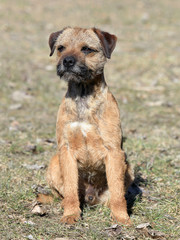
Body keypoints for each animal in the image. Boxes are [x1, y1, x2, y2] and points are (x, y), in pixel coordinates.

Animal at [45, 27, 133, 225]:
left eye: (86, 49)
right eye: (61, 48)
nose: (67, 61)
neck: (83, 95)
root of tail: (91, 197)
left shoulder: (114, 151)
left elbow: (117, 191)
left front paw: (121, 218)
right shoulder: (66, 150)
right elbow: (70, 188)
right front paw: (71, 215)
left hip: (127, 166)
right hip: (54, 163)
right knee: (65, 194)